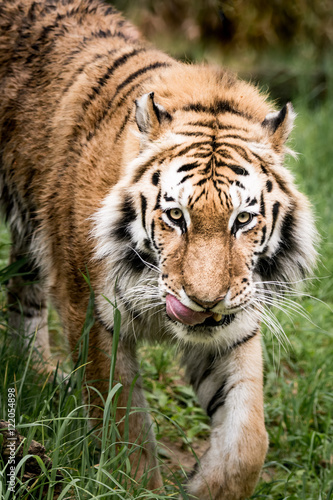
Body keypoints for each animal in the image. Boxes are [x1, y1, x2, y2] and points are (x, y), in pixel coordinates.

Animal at [0, 0, 316, 500]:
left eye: (243, 220)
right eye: (175, 216)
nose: (203, 301)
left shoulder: (236, 322)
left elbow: (248, 439)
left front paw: (207, 486)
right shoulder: (92, 313)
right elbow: (124, 423)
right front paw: (136, 487)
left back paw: (38, 371)